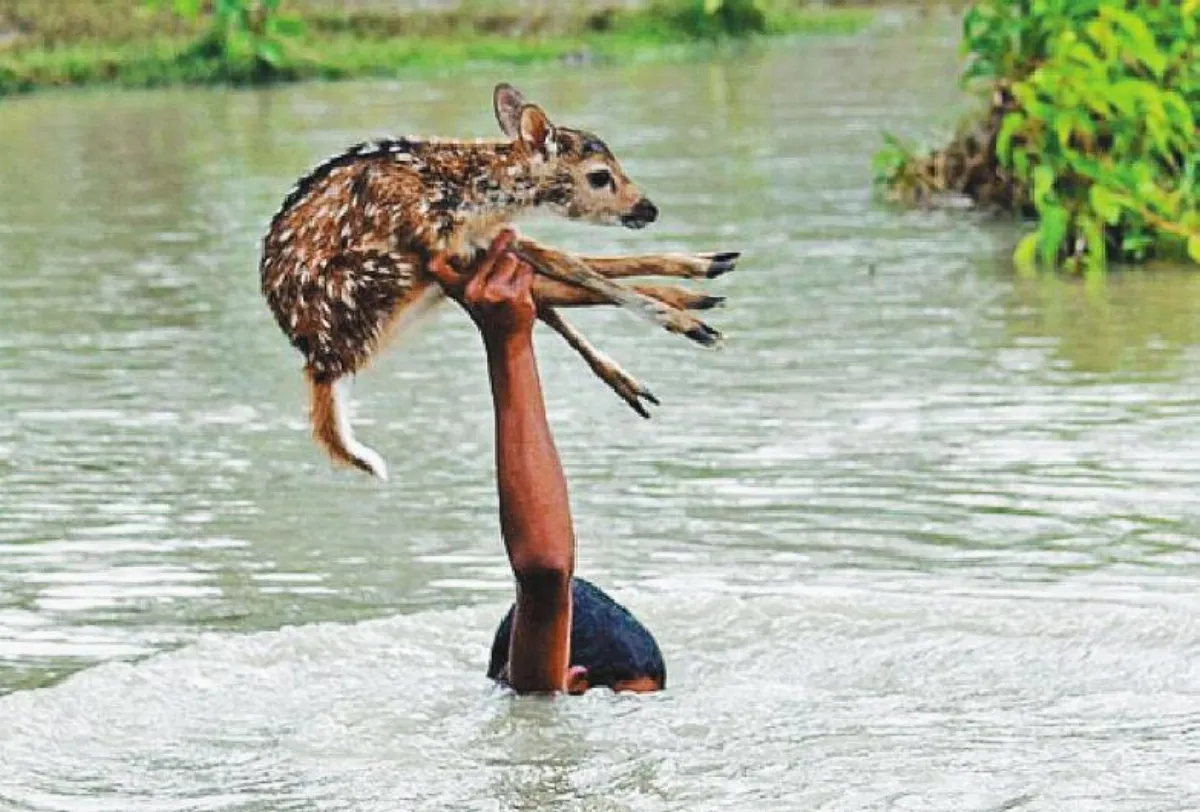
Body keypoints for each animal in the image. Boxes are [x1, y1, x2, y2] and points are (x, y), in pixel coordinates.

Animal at [260, 83, 739, 481]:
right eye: (600, 175)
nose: (648, 209)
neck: (474, 194)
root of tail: (319, 363)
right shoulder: (441, 244)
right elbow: (573, 268)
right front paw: (685, 320)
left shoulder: (481, 239)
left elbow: (568, 264)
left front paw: (695, 282)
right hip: (384, 276)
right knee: (551, 287)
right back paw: (691, 313)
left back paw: (695, 291)